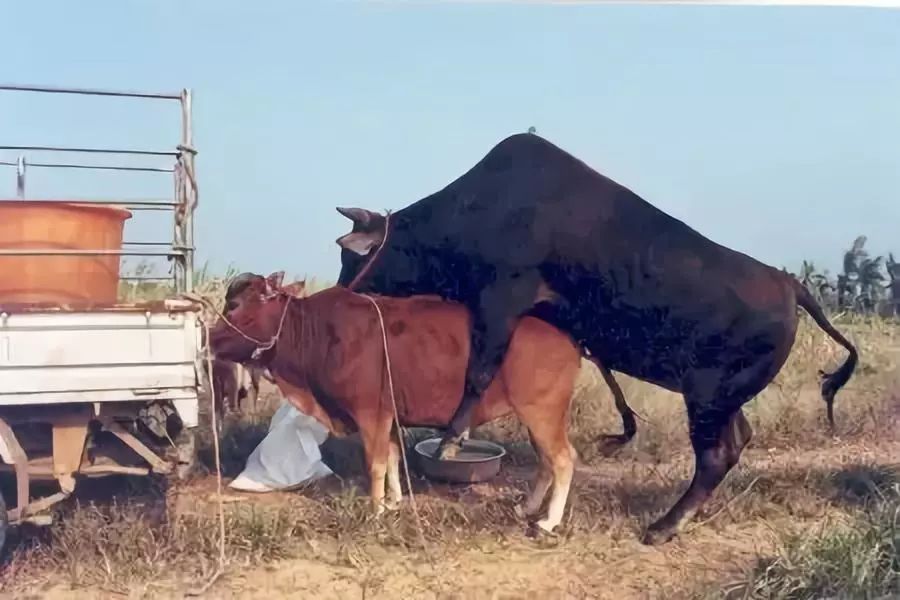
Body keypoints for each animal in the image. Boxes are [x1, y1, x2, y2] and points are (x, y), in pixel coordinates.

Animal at [209, 270, 584, 528]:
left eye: (235, 305)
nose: (209, 339)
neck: (316, 332)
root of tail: (567, 337)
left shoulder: (369, 412)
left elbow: (375, 463)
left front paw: (376, 510)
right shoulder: (387, 413)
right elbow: (391, 457)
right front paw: (393, 502)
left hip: (542, 411)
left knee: (563, 459)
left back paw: (549, 521)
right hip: (538, 415)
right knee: (546, 462)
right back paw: (528, 508)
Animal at [334, 132, 856, 544]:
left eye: (349, 256)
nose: (341, 295)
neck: (479, 207)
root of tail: (789, 283)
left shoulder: (503, 295)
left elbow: (479, 371)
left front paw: (451, 439)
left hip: (708, 397)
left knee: (715, 456)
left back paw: (663, 527)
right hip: (722, 398)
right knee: (737, 441)